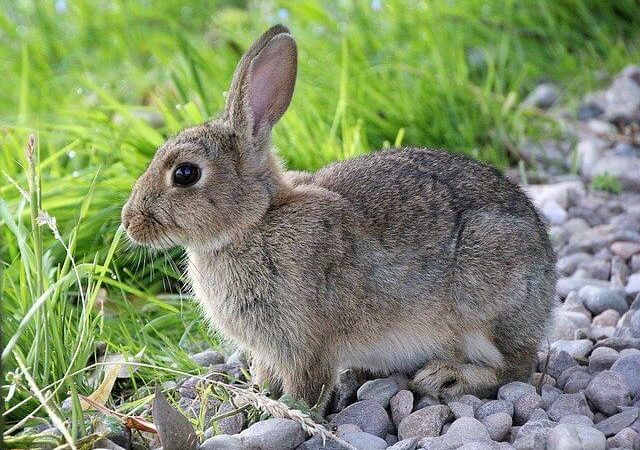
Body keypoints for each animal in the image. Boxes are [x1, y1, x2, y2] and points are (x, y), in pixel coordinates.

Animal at [120, 25, 556, 412]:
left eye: (185, 173)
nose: (129, 221)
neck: (255, 222)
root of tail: (548, 277)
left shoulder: (305, 342)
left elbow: (306, 385)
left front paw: (288, 412)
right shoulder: (269, 349)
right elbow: (266, 374)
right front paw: (256, 397)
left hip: (488, 300)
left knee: (515, 368)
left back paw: (446, 377)